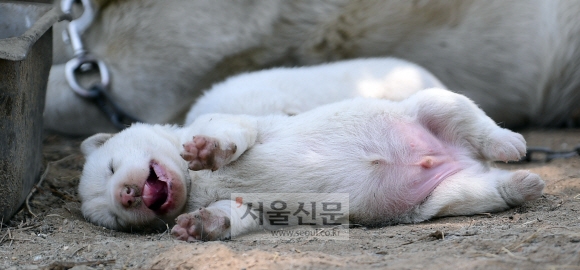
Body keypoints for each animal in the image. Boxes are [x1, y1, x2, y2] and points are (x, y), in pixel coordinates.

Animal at [79, 89, 548, 240]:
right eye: (115, 217)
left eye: (112, 166)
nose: (127, 193)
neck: (196, 188)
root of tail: (460, 157)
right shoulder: (255, 209)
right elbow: (232, 215)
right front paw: (198, 225)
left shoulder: (238, 123)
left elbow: (228, 134)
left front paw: (208, 152)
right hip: (440, 199)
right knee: (482, 191)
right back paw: (521, 185)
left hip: (435, 102)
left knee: (477, 122)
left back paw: (510, 143)